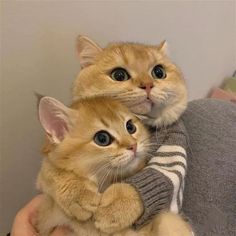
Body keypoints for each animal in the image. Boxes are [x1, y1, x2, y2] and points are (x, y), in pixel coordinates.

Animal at [36, 96, 192, 236]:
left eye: (130, 127)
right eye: (102, 138)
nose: (133, 145)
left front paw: (112, 210)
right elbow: (50, 170)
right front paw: (79, 195)